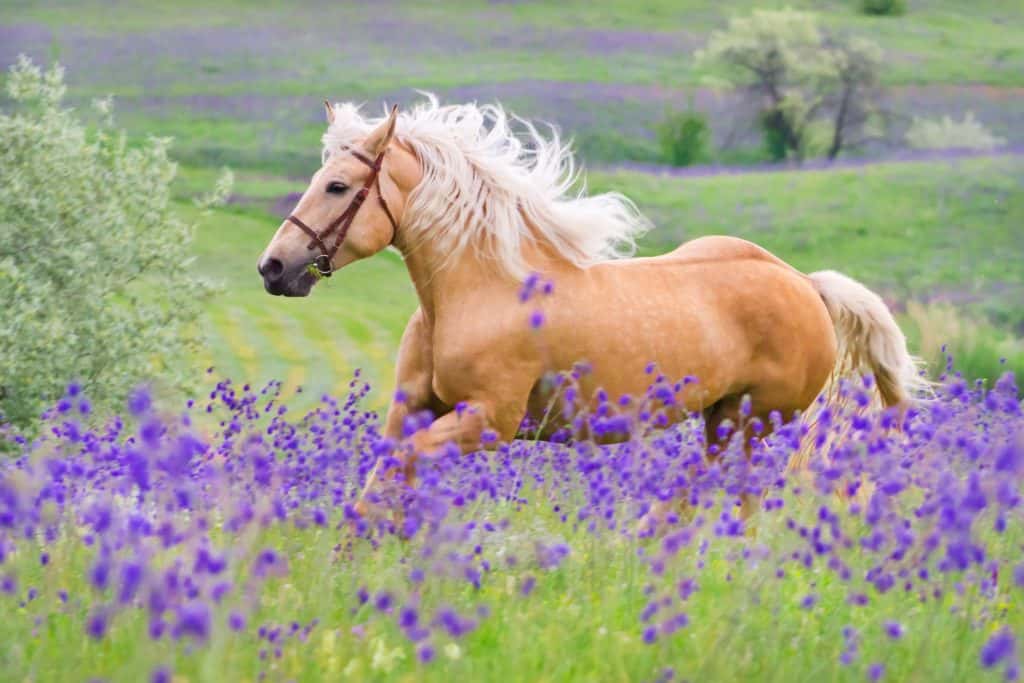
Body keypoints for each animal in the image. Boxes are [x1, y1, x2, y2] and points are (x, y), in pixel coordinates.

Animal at [258, 97, 929, 518]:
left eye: (338, 186)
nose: (274, 267)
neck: (479, 290)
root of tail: (804, 284)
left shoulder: (488, 422)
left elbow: (400, 475)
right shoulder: (415, 411)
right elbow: (382, 484)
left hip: (752, 422)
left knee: (724, 494)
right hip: (723, 420)